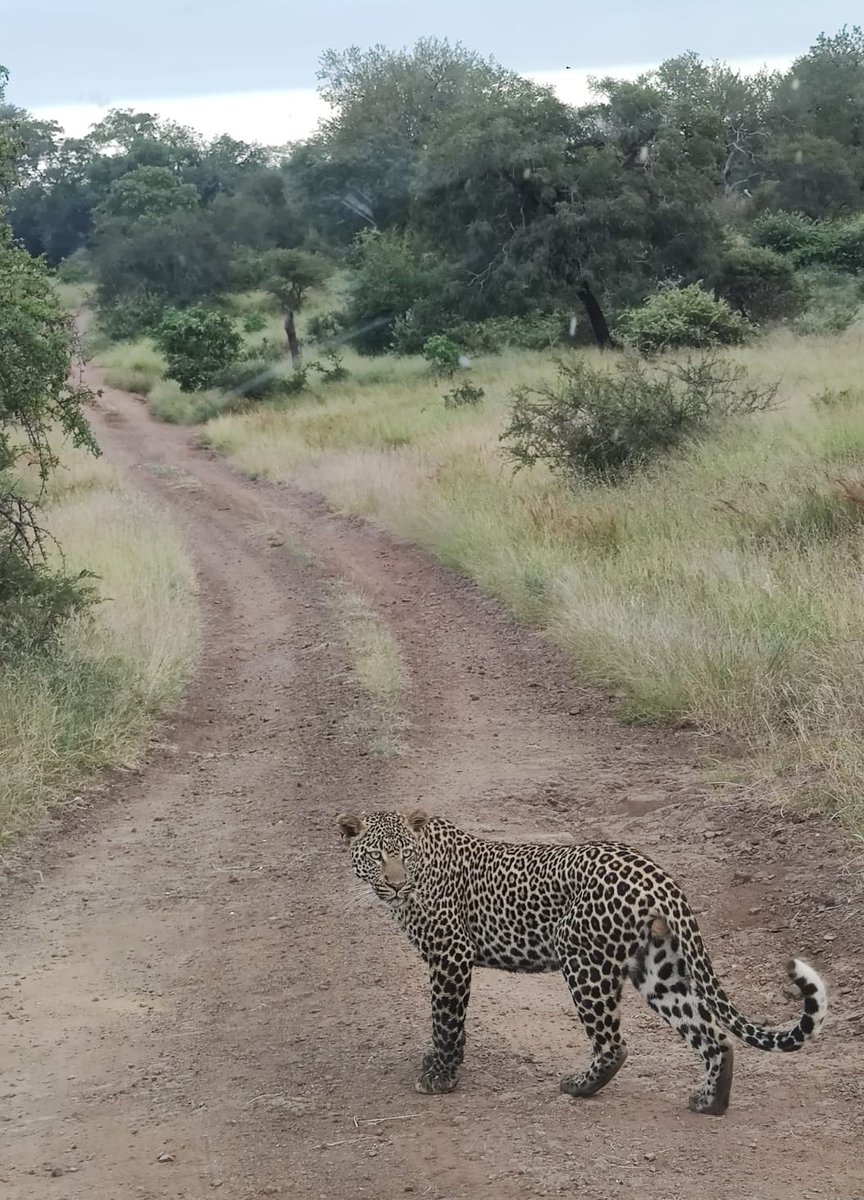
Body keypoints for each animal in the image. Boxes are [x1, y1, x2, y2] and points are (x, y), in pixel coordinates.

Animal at [337, 808, 827, 1116]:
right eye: (377, 855)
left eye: (406, 854)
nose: (396, 885)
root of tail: (659, 876)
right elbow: (451, 1024)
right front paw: (442, 1067)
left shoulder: (450, 955)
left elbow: (445, 1020)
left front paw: (439, 1078)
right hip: (657, 969)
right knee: (713, 1036)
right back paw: (710, 1103)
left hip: (582, 961)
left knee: (614, 1043)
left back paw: (578, 1087)